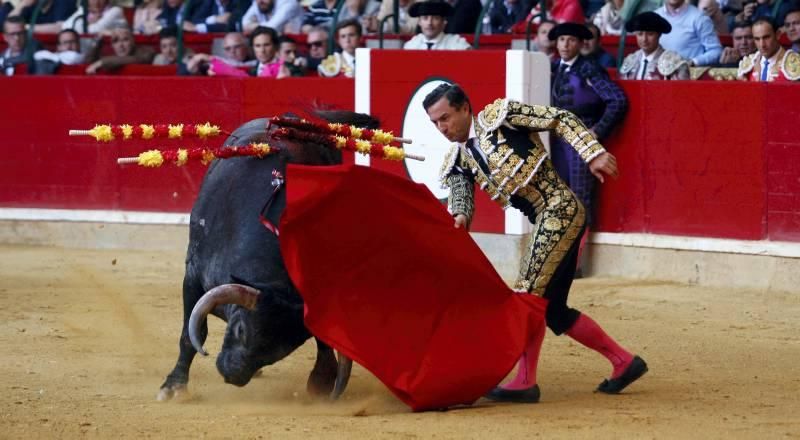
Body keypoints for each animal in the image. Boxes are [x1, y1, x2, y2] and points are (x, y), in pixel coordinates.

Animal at [159, 113, 378, 402]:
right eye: (241, 329)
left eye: (280, 352)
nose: (233, 374)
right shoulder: (193, 274)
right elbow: (191, 333)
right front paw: (173, 386)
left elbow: (322, 339)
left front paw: (321, 382)